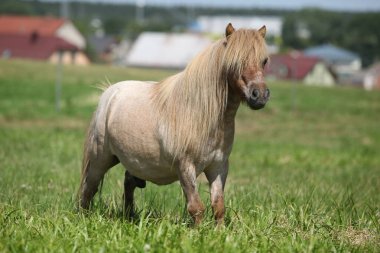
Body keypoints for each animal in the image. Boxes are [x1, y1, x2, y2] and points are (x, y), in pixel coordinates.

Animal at [78, 24, 270, 225]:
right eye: (235, 62)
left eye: (264, 61)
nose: (259, 95)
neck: (201, 115)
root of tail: (109, 92)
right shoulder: (185, 167)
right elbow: (196, 208)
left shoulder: (218, 167)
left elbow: (218, 206)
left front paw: (220, 231)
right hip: (101, 158)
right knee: (89, 188)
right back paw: (84, 218)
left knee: (128, 182)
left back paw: (130, 216)